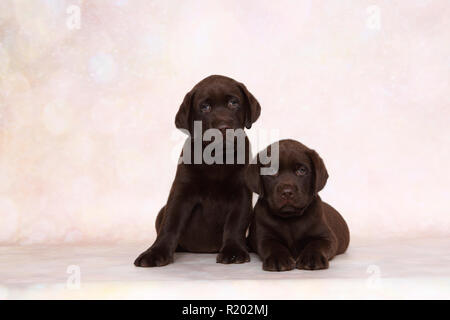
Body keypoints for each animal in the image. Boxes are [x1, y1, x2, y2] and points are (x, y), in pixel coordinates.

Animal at [134, 75, 260, 268]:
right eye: (204, 107)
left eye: (233, 103)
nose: (224, 127)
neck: (217, 157)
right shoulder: (181, 192)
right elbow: (170, 223)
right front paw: (155, 252)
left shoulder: (241, 194)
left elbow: (235, 224)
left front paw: (233, 251)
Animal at [246, 139, 348, 272]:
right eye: (271, 172)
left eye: (302, 171)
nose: (287, 192)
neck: (290, 219)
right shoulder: (264, 237)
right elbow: (273, 246)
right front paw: (278, 258)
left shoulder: (326, 237)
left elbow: (316, 244)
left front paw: (311, 258)